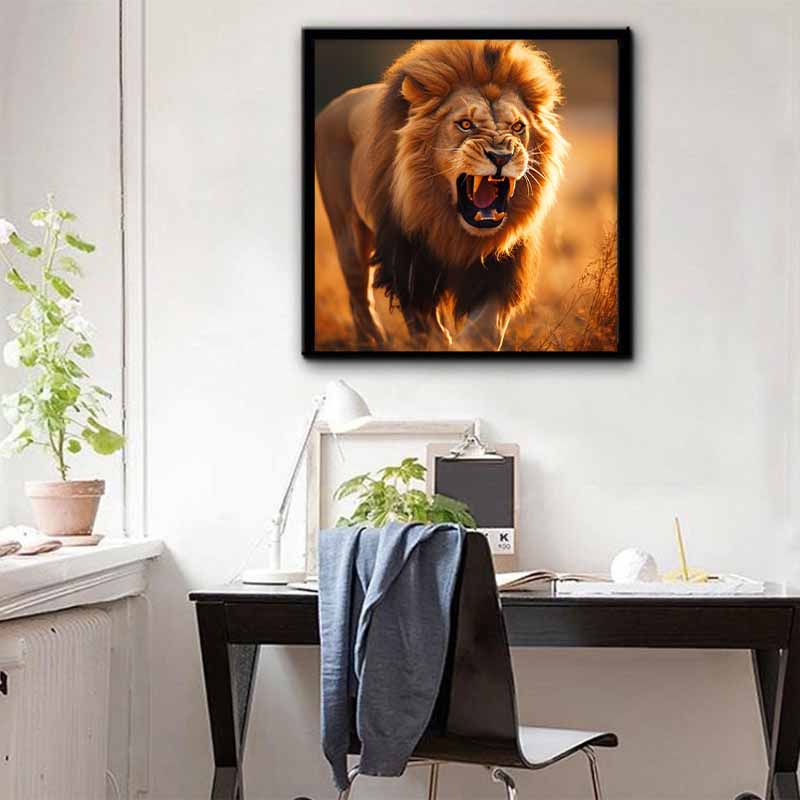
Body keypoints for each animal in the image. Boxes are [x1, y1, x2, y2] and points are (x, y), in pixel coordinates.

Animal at [315, 39, 567, 350]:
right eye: (465, 124)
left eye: (518, 127)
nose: (501, 156)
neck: (457, 231)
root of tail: (335, 104)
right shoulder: (408, 259)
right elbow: (425, 323)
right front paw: (440, 343)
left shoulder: (502, 265)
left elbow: (486, 327)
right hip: (347, 233)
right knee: (358, 292)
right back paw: (373, 340)